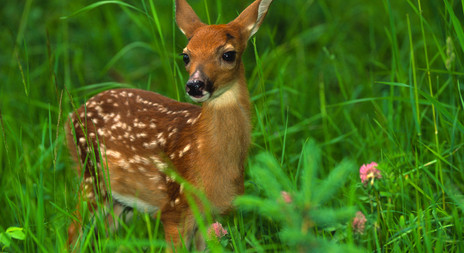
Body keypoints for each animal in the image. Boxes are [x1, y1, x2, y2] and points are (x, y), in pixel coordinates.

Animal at [67, 0, 274, 250]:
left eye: (228, 54)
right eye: (185, 56)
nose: (195, 85)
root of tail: (73, 115)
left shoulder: (213, 215)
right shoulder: (176, 208)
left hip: (118, 201)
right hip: (91, 176)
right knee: (72, 231)